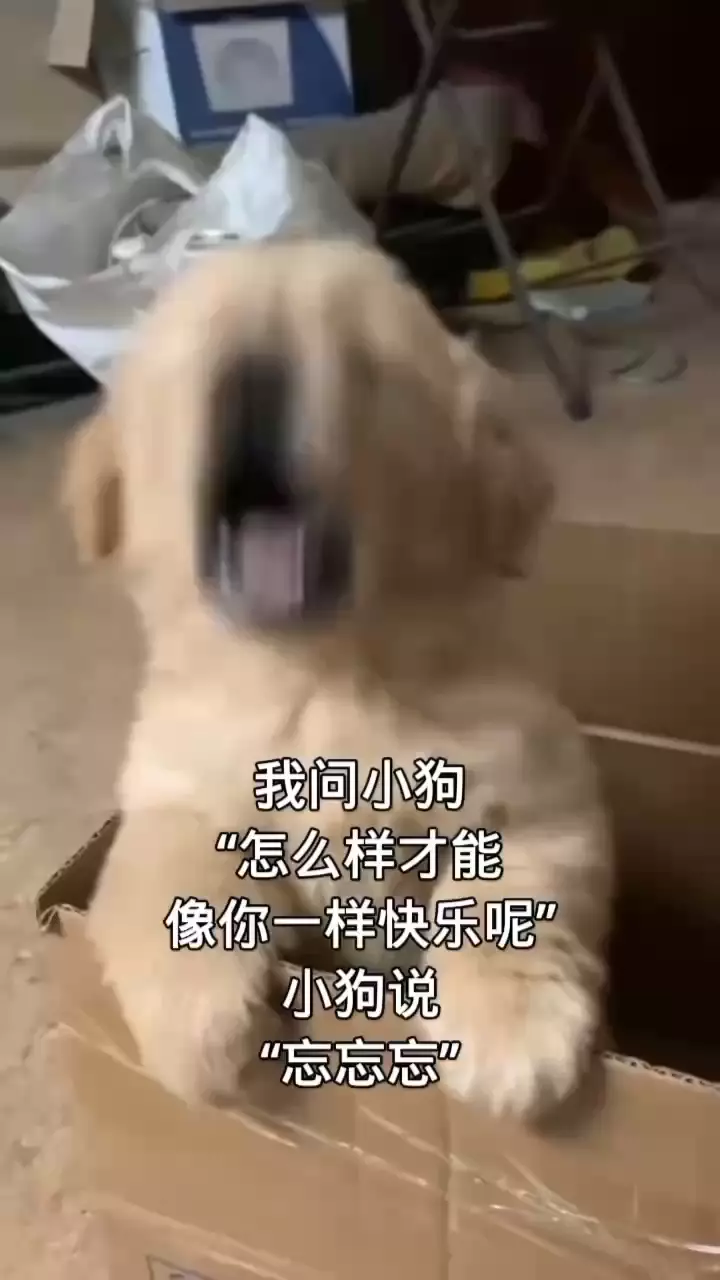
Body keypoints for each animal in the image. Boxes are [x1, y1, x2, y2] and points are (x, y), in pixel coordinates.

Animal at [62, 239, 612, 1118]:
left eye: (363, 361)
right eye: (197, 355)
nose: (254, 374)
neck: (320, 683)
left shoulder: (543, 795)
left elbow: (511, 899)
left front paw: (511, 1034)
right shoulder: (171, 792)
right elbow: (167, 875)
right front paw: (201, 1030)